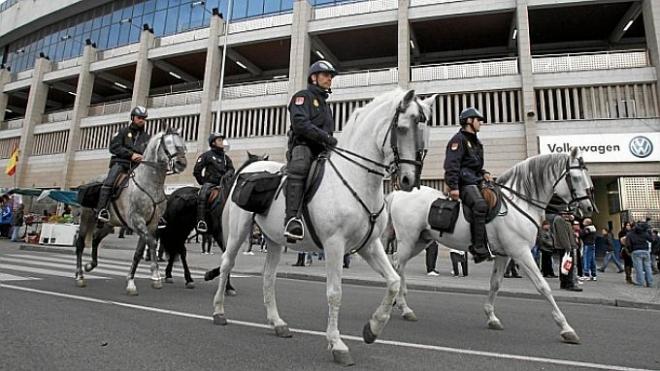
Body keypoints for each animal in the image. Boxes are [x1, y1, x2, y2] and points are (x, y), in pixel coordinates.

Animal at [75, 129, 187, 296]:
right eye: (168, 143)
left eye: (183, 143)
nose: (182, 163)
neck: (149, 184)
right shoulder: (137, 221)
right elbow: (152, 243)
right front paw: (155, 275)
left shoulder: (151, 225)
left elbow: (138, 254)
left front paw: (131, 283)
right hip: (87, 218)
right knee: (80, 244)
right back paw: (80, 276)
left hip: (109, 224)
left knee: (95, 239)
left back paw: (90, 265)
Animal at [213, 88, 438, 368]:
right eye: (404, 128)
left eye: (426, 130)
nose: (409, 180)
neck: (354, 176)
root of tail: (248, 169)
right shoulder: (334, 244)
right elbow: (335, 293)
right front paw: (337, 344)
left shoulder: (370, 245)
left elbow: (394, 282)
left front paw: (372, 329)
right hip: (238, 231)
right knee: (226, 264)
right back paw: (219, 311)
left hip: (274, 239)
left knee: (268, 277)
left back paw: (277, 323)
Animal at [384, 148, 596, 346]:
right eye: (575, 177)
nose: (589, 208)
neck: (520, 202)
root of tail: (397, 192)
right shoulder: (521, 252)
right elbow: (543, 287)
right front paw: (566, 328)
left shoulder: (504, 255)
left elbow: (495, 284)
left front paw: (491, 317)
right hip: (408, 240)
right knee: (399, 266)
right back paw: (404, 307)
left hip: (420, 241)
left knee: (396, 264)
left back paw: (397, 302)